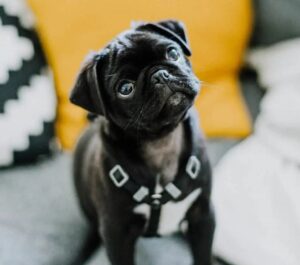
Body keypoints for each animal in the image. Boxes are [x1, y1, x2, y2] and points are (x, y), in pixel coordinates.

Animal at [70, 19, 216, 262]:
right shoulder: (116, 235)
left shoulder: (203, 216)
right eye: (125, 88)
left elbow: (203, 255)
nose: (160, 75)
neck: (161, 142)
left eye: (173, 52)